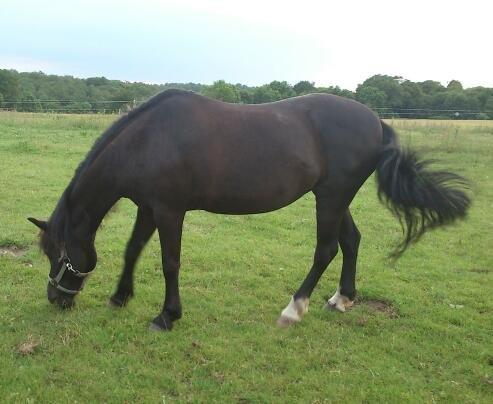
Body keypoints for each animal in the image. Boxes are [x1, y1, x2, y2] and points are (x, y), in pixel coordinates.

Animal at [27, 91, 468, 332]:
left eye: (57, 254)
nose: (56, 299)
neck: (149, 140)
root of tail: (376, 121)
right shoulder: (148, 208)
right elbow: (132, 250)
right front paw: (120, 297)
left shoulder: (170, 211)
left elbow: (170, 262)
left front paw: (167, 316)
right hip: (334, 198)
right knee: (351, 241)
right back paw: (342, 299)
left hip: (330, 198)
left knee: (325, 249)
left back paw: (294, 309)